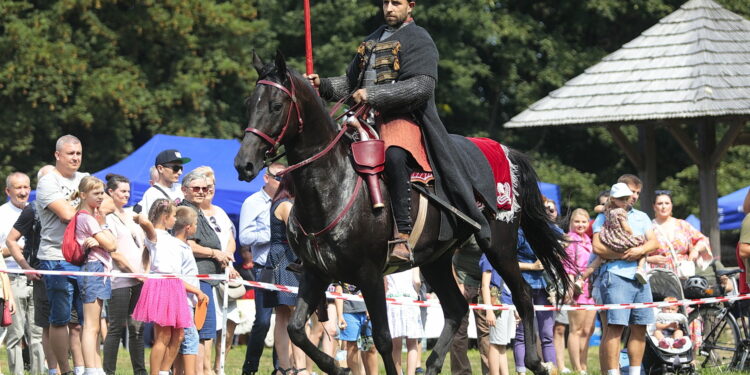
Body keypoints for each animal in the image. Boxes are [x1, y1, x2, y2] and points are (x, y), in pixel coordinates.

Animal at [236, 52, 568, 375]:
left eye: (276, 105)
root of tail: (507, 152)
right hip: (436, 259)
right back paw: (432, 366)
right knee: (458, 308)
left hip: (498, 246)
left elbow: (383, 338)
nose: (244, 164)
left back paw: (537, 363)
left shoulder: (369, 274)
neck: (333, 184)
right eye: (249, 104)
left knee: (522, 295)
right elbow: (295, 331)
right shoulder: (316, 273)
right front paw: (338, 368)